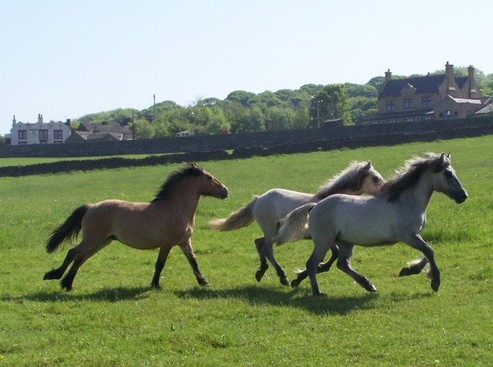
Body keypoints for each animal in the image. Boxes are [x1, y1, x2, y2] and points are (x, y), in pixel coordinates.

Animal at [43, 165, 228, 292]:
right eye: (209, 178)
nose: (225, 191)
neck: (176, 208)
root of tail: (91, 207)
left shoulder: (184, 242)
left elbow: (193, 261)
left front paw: (203, 282)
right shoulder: (167, 243)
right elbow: (160, 264)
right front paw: (155, 285)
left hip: (103, 241)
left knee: (80, 258)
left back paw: (67, 284)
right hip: (93, 239)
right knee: (73, 253)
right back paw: (55, 276)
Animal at [208, 162, 384, 286]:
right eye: (375, 178)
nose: (385, 191)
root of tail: (259, 199)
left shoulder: (328, 238)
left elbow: (333, 255)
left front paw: (308, 273)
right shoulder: (325, 238)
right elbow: (332, 255)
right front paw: (300, 277)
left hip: (274, 232)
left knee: (258, 243)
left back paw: (261, 271)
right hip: (271, 232)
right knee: (268, 250)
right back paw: (282, 277)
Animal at [274, 152, 468, 296]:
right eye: (448, 173)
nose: (463, 196)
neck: (406, 201)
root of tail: (315, 206)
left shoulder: (414, 235)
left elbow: (428, 252)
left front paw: (408, 270)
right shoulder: (407, 236)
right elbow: (429, 251)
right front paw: (435, 282)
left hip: (345, 242)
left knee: (342, 264)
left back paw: (368, 285)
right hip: (324, 242)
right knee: (313, 263)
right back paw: (317, 291)